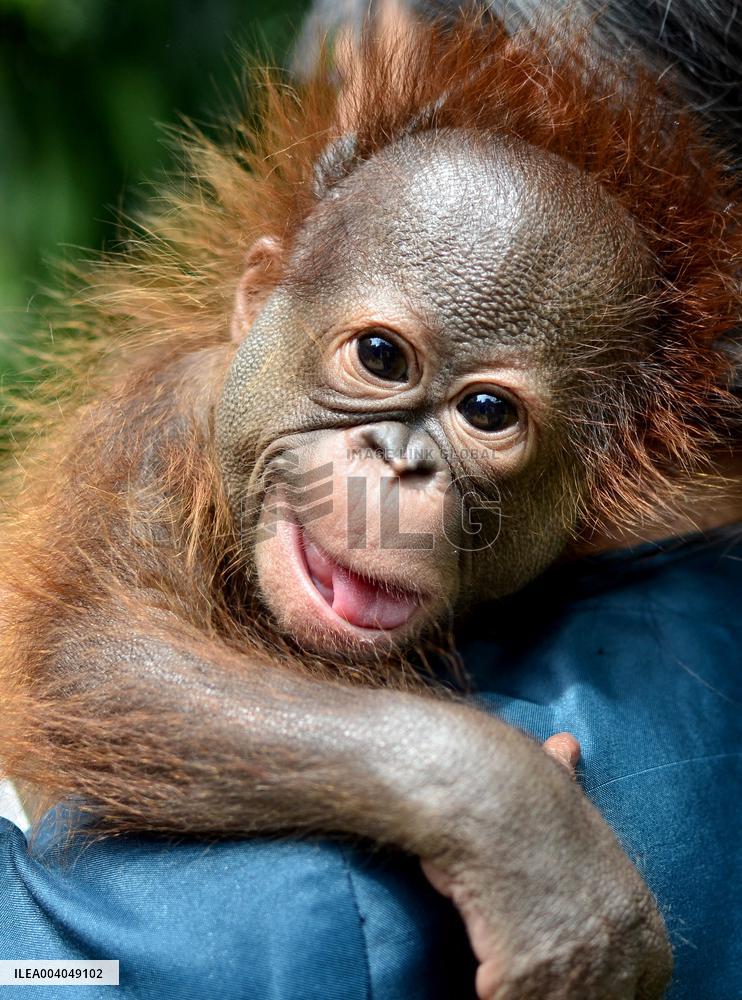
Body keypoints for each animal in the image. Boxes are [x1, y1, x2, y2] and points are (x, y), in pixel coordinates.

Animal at [2, 12, 741, 998]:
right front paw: (518, 822)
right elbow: (104, 656)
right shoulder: (156, 428)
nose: (400, 463)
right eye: (382, 358)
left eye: (487, 412)